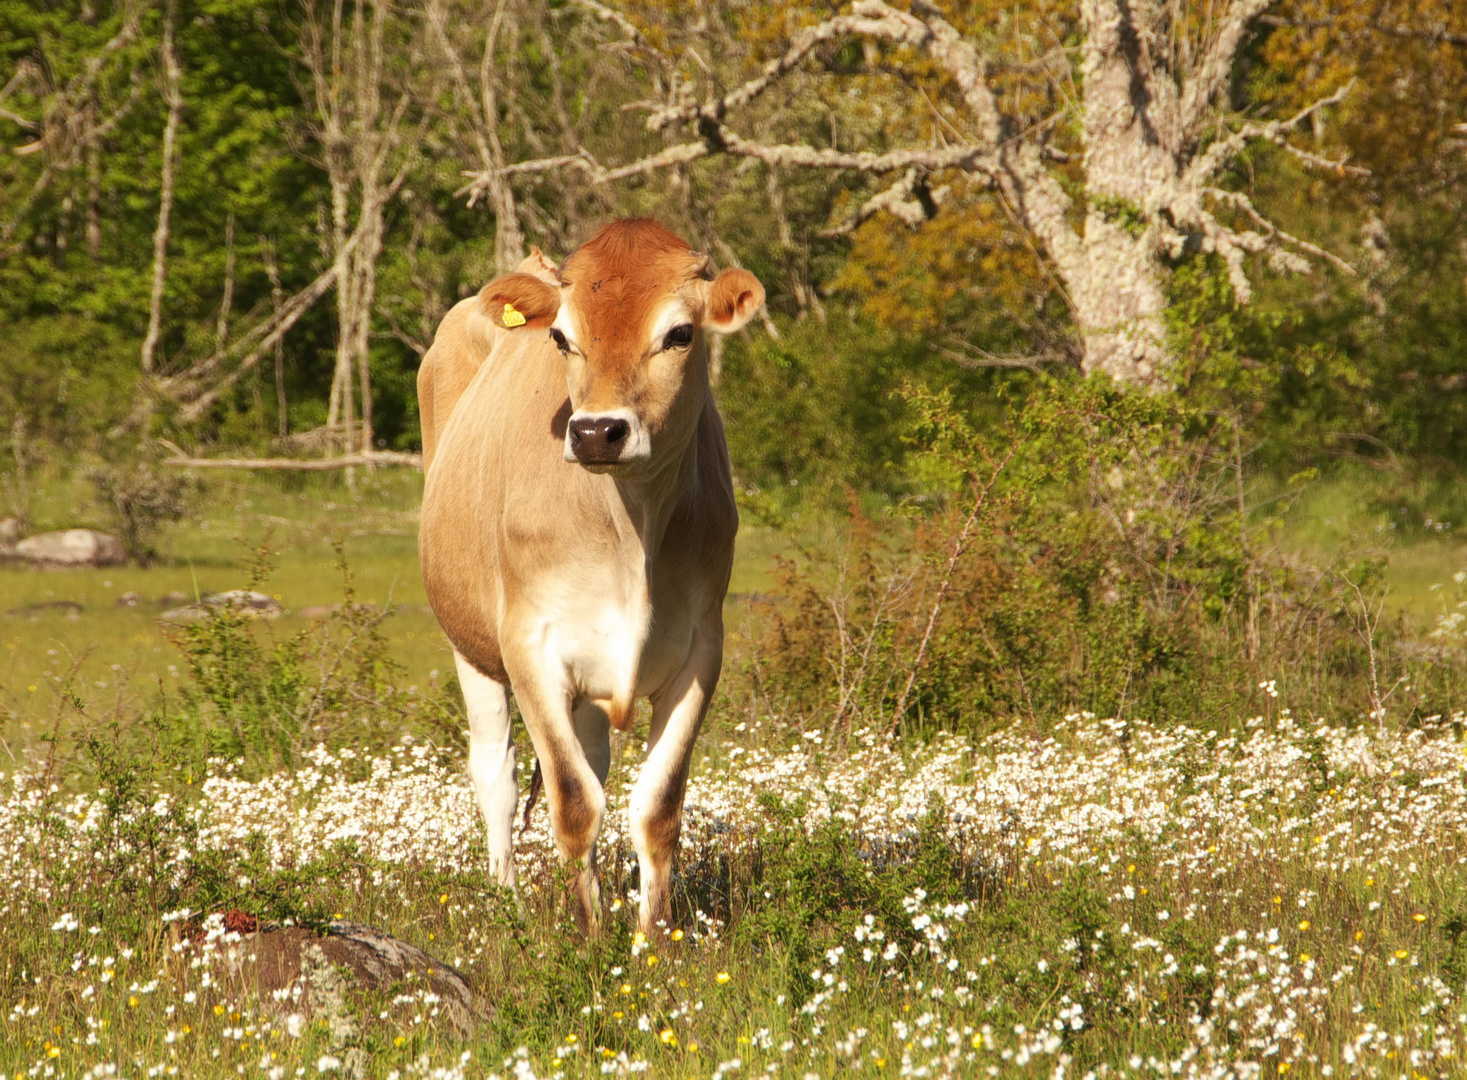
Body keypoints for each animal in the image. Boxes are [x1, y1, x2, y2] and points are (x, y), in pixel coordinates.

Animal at [413, 220, 756, 939]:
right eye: (561, 338)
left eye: (680, 334)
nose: (598, 431)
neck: (632, 532)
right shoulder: (530, 647)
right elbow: (572, 802)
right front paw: (592, 940)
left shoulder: (700, 651)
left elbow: (656, 807)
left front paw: (650, 944)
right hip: (468, 642)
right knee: (497, 773)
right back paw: (506, 900)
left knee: (591, 758)